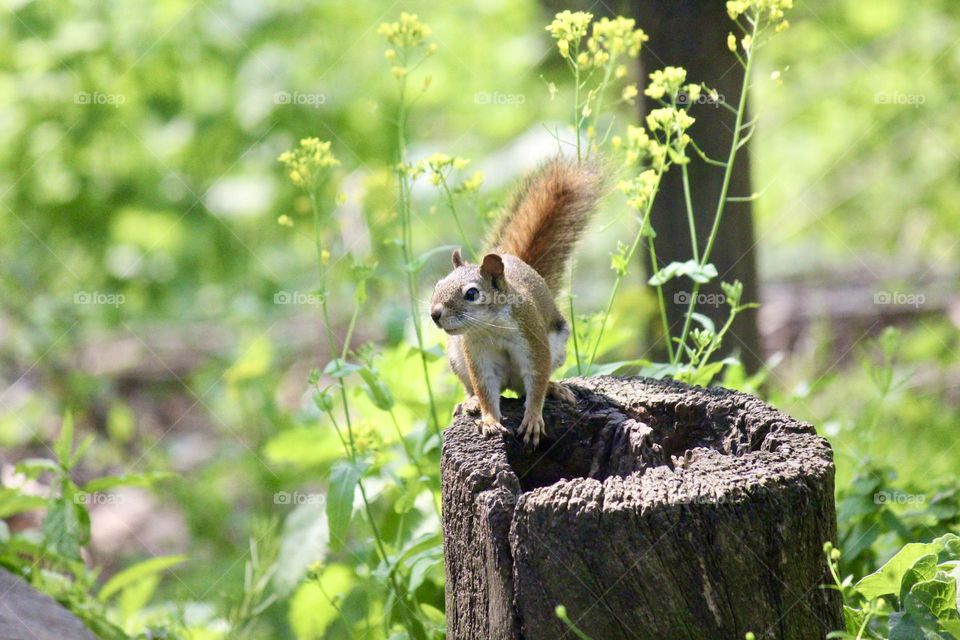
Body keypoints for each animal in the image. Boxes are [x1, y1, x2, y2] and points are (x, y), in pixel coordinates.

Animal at [429, 156, 602, 447]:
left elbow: (537, 379)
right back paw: (470, 403)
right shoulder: (476, 354)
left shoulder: (533, 340)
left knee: (528, 387)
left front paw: (532, 418)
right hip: (457, 358)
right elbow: (484, 388)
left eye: (472, 294)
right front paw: (489, 419)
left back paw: (554, 388)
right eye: (438, 285)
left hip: (556, 349)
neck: (491, 327)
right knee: (477, 388)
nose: (434, 314)